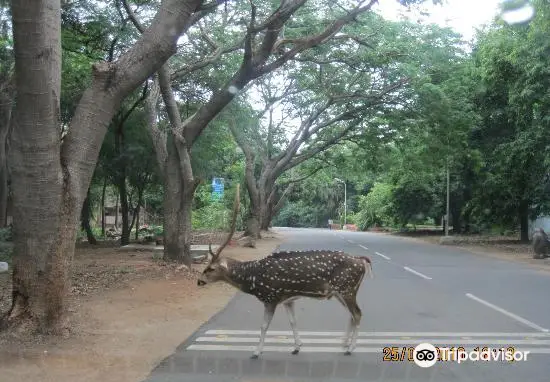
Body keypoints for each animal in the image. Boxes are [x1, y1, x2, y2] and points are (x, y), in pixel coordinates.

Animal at [198, 185, 376, 358]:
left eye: (210, 268)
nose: (199, 281)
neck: (253, 279)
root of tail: (362, 261)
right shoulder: (288, 299)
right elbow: (293, 321)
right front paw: (297, 347)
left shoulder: (271, 297)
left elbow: (264, 325)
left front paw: (256, 352)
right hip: (341, 291)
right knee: (352, 314)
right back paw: (343, 344)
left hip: (347, 288)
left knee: (357, 313)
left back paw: (350, 348)